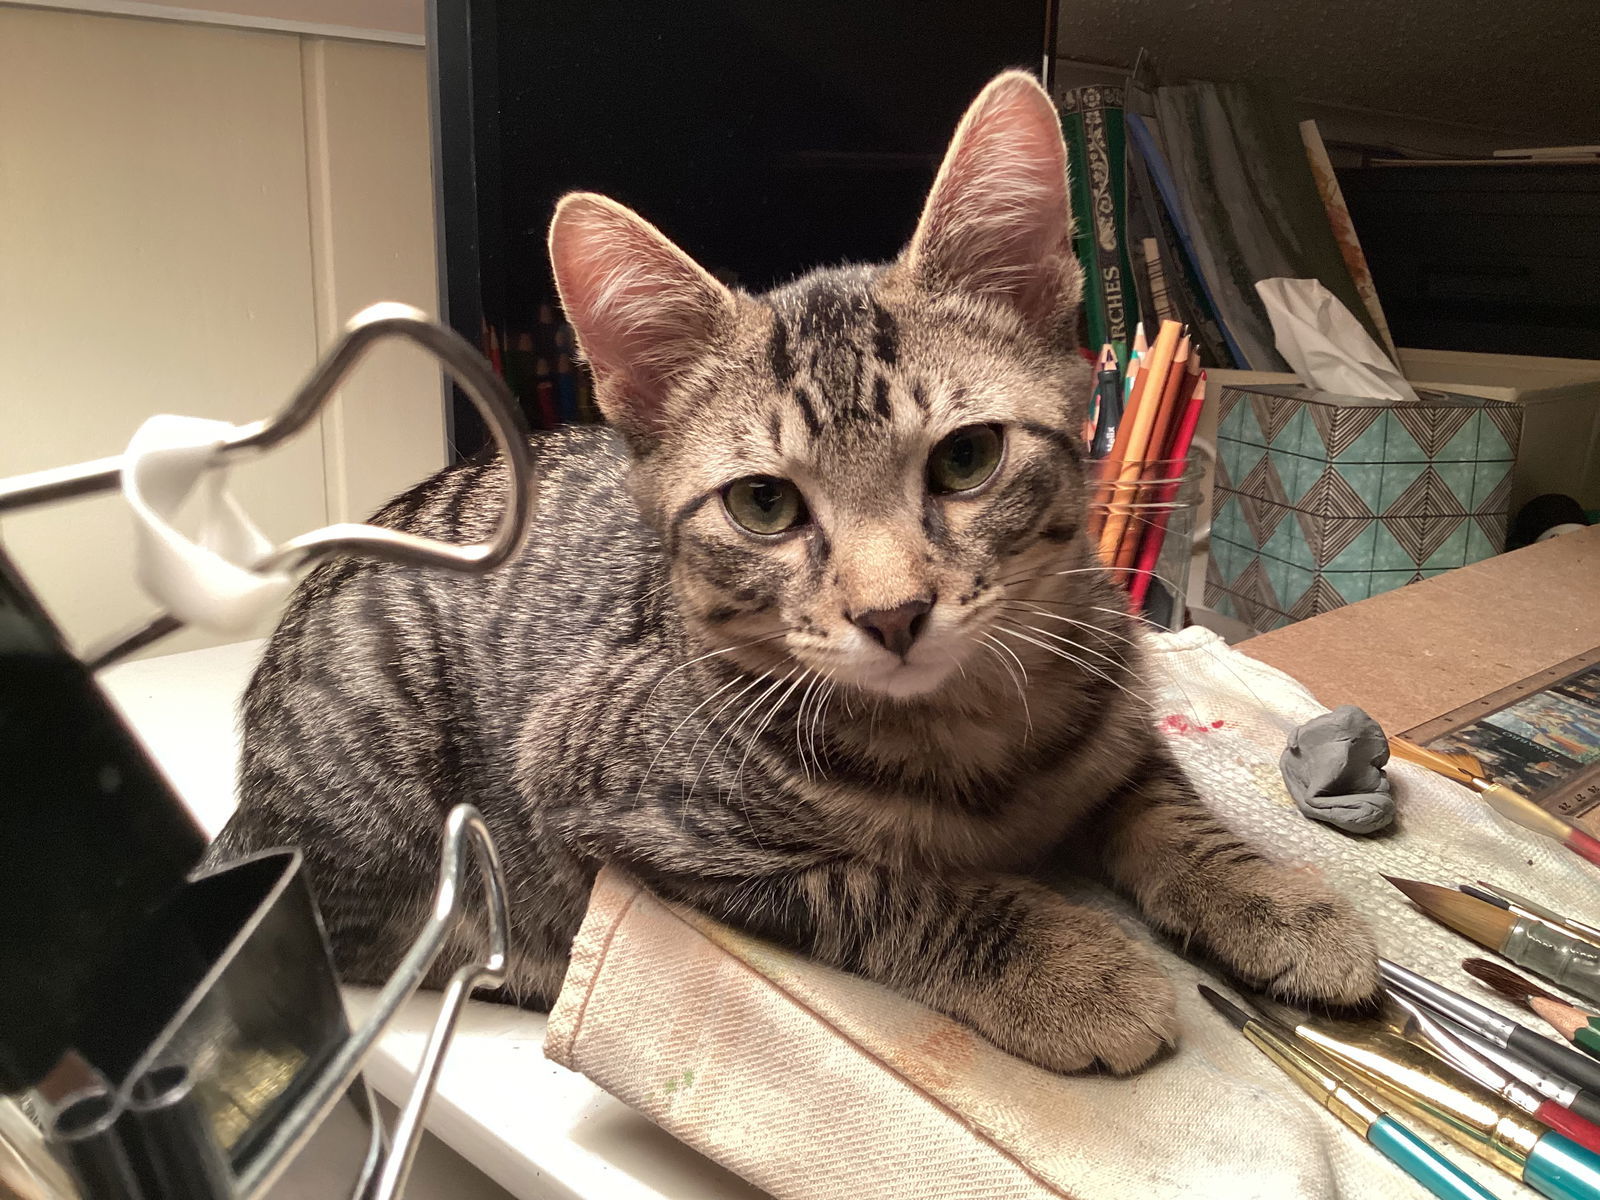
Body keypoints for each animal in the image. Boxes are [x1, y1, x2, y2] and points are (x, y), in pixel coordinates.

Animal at [219, 70, 1382, 1075]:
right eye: (764, 505)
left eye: (968, 457)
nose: (894, 612)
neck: (973, 724)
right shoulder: (599, 785)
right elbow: (887, 885)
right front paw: (1064, 962)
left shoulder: (1112, 699)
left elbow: (1161, 798)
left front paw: (1269, 897)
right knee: (385, 942)